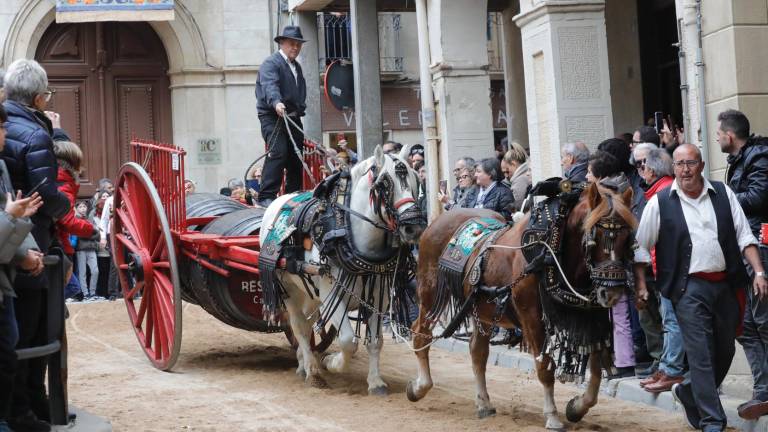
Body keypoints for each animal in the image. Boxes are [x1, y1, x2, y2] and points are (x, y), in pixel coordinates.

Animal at [260, 144, 424, 392]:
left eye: (416, 180)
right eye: (384, 183)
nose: (413, 226)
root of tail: (281, 200)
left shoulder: (380, 296)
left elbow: (375, 342)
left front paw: (375, 382)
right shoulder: (332, 293)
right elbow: (348, 341)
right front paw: (331, 362)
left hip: (309, 292)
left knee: (307, 325)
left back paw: (302, 362)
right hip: (288, 288)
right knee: (299, 327)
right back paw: (312, 371)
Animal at [408, 181, 636, 428]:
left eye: (626, 238)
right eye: (595, 237)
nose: (612, 292)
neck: (550, 250)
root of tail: (436, 221)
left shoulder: (590, 317)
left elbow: (596, 367)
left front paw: (577, 406)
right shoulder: (532, 317)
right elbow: (545, 366)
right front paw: (552, 416)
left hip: (482, 309)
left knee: (477, 351)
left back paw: (483, 403)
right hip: (430, 294)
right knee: (420, 333)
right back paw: (420, 387)